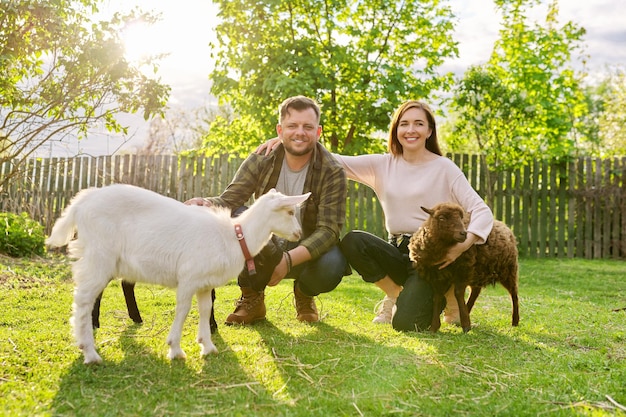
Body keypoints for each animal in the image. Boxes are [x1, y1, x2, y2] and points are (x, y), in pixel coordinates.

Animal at [45, 184, 308, 362]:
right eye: (289, 212)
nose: (299, 233)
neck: (234, 235)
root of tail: (81, 203)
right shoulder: (188, 277)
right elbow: (183, 310)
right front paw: (175, 349)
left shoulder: (204, 283)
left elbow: (205, 309)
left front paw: (207, 345)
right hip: (99, 255)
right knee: (83, 300)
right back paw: (89, 352)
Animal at [404, 202, 516, 332]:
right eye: (441, 217)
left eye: (461, 218)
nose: (464, 233)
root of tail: (502, 224)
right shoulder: (437, 276)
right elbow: (437, 297)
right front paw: (434, 327)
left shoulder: (462, 271)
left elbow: (458, 293)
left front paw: (466, 325)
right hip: (478, 274)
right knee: (475, 291)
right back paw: (468, 309)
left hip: (508, 269)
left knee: (514, 293)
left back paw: (515, 321)